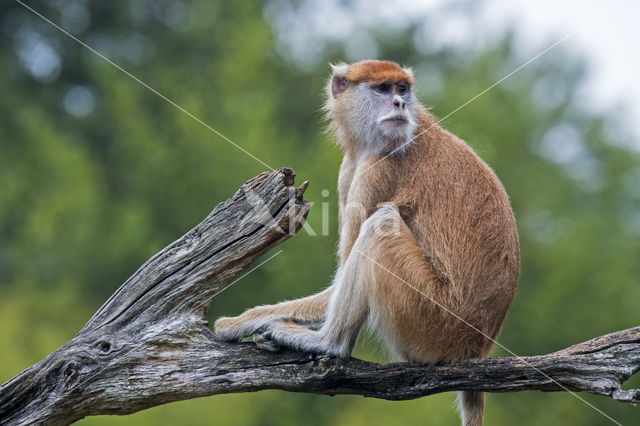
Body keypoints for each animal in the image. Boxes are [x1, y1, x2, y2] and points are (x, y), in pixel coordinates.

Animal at [215, 60, 520, 426]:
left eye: (402, 89)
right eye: (384, 88)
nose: (399, 103)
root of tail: (476, 346)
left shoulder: (377, 170)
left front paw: (239, 322)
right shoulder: (351, 169)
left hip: (430, 318)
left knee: (380, 226)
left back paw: (328, 343)